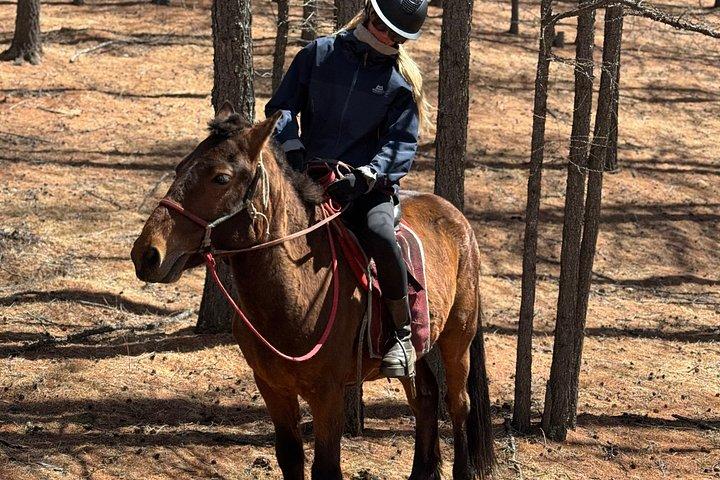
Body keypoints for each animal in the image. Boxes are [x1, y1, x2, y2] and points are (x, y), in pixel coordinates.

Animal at [130, 102, 494, 480]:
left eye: (221, 178)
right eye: (180, 167)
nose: (147, 253)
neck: (297, 291)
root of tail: (456, 216)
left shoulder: (327, 394)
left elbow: (326, 467)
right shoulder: (272, 388)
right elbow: (290, 456)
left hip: (458, 337)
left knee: (458, 403)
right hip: (420, 348)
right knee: (425, 397)